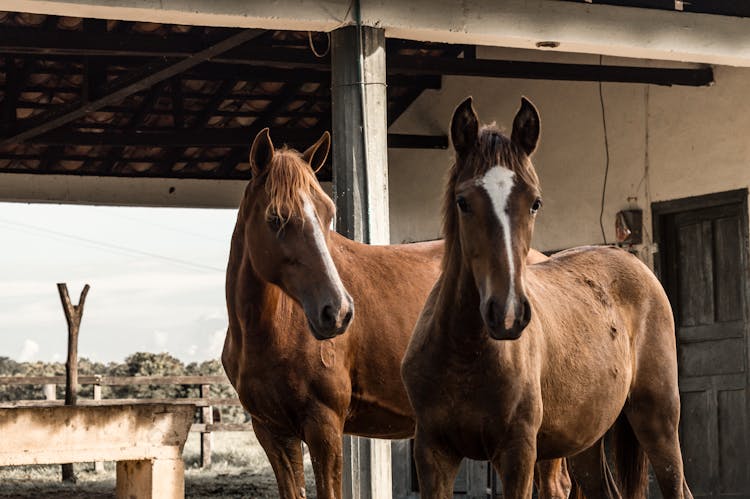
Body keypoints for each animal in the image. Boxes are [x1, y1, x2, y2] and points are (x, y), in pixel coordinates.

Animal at [223, 127, 568, 498]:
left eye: (328, 213)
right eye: (275, 218)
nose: (337, 311)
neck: (272, 329)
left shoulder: (323, 425)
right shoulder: (272, 432)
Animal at [402, 97, 696, 499]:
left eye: (535, 202)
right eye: (463, 201)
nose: (507, 314)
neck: (465, 355)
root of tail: (635, 265)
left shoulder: (518, 453)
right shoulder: (433, 452)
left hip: (657, 419)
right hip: (586, 441)